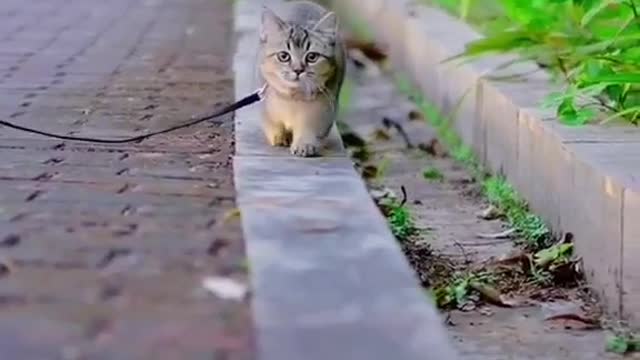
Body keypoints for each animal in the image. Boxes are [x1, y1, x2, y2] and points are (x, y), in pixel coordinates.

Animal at [258, 0, 344, 157]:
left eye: (312, 57)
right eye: (284, 56)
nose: (298, 70)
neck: (293, 98)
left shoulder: (323, 109)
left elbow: (310, 127)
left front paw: (304, 144)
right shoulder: (265, 104)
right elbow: (271, 122)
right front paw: (279, 136)